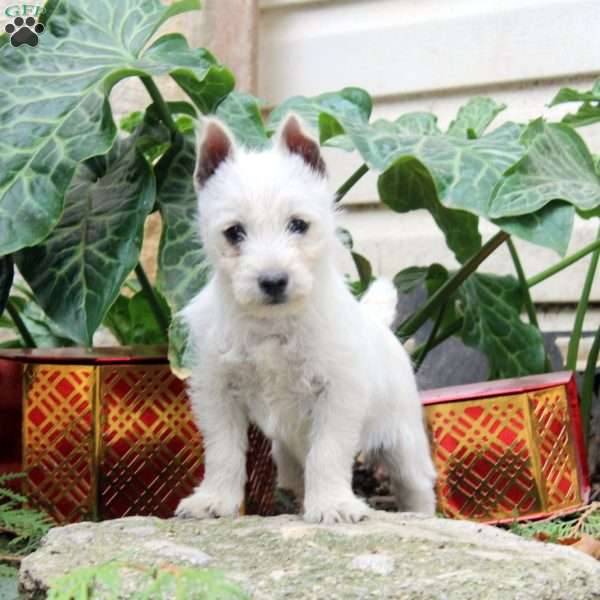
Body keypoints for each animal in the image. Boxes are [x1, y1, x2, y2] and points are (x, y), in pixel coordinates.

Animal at [175, 113, 436, 524]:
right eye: (234, 232)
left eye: (298, 225)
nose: (273, 281)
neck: (273, 324)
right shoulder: (218, 393)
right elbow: (223, 452)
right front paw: (214, 500)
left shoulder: (337, 394)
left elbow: (327, 453)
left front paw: (332, 504)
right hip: (286, 454)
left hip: (403, 440)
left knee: (416, 486)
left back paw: (423, 515)